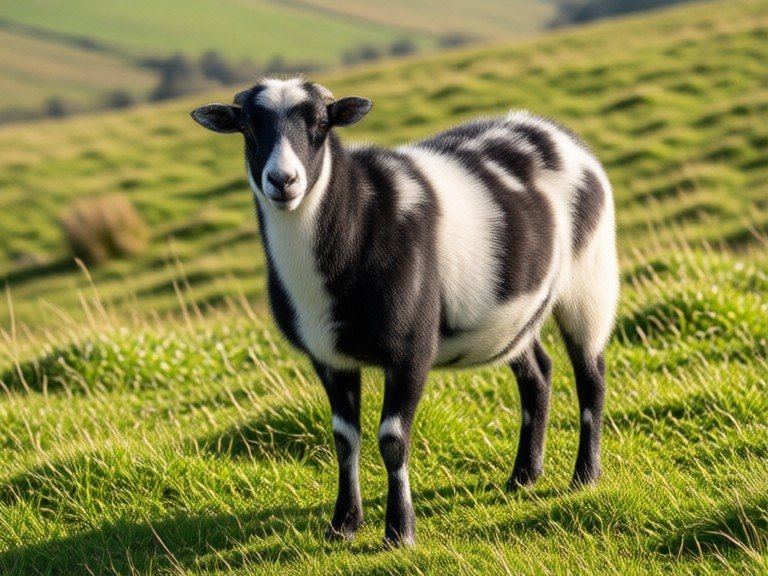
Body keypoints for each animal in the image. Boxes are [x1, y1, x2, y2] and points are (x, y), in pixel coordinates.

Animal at [191, 77, 619, 547]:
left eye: (321, 124)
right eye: (249, 128)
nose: (283, 181)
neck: (354, 222)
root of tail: (551, 131)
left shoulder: (411, 348)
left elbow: (393, 439)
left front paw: (399, 531)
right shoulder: (329, 358)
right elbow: (344, 440)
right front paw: (343, 525)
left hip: (589, 279)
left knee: (591, 376)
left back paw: (585, 476)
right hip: (511, 318)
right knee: (537, 374)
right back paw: (524, 475)